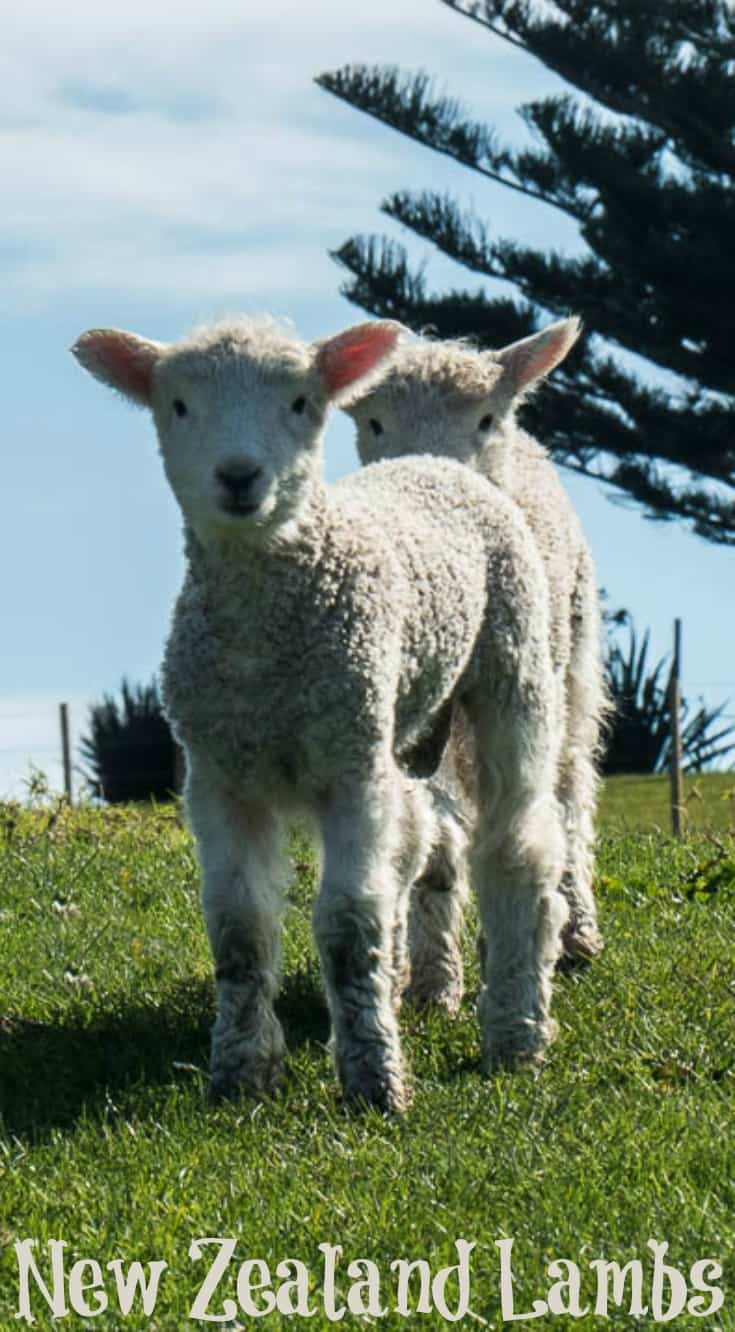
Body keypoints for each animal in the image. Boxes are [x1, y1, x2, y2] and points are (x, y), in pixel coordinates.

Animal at [73, 314, 567, 1113]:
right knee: (421, 844)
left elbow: (345, 924)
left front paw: (372, 1078)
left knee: (517, 846)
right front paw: (239, 1072)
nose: (239, 476)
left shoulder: (349, 770)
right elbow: (238, 932)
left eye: (301, 402)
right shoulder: (218, 776)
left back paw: (516, 1029)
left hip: (511, 668)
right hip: (396, 729)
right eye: (177, 405)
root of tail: (432, 460)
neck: (264, 646)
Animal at [346, 322, 609, 1006]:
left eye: (487, 419)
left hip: (570, 663)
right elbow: (431, 833)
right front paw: (432, 975)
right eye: (373, 422)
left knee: (570, 788)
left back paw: (577, 923)